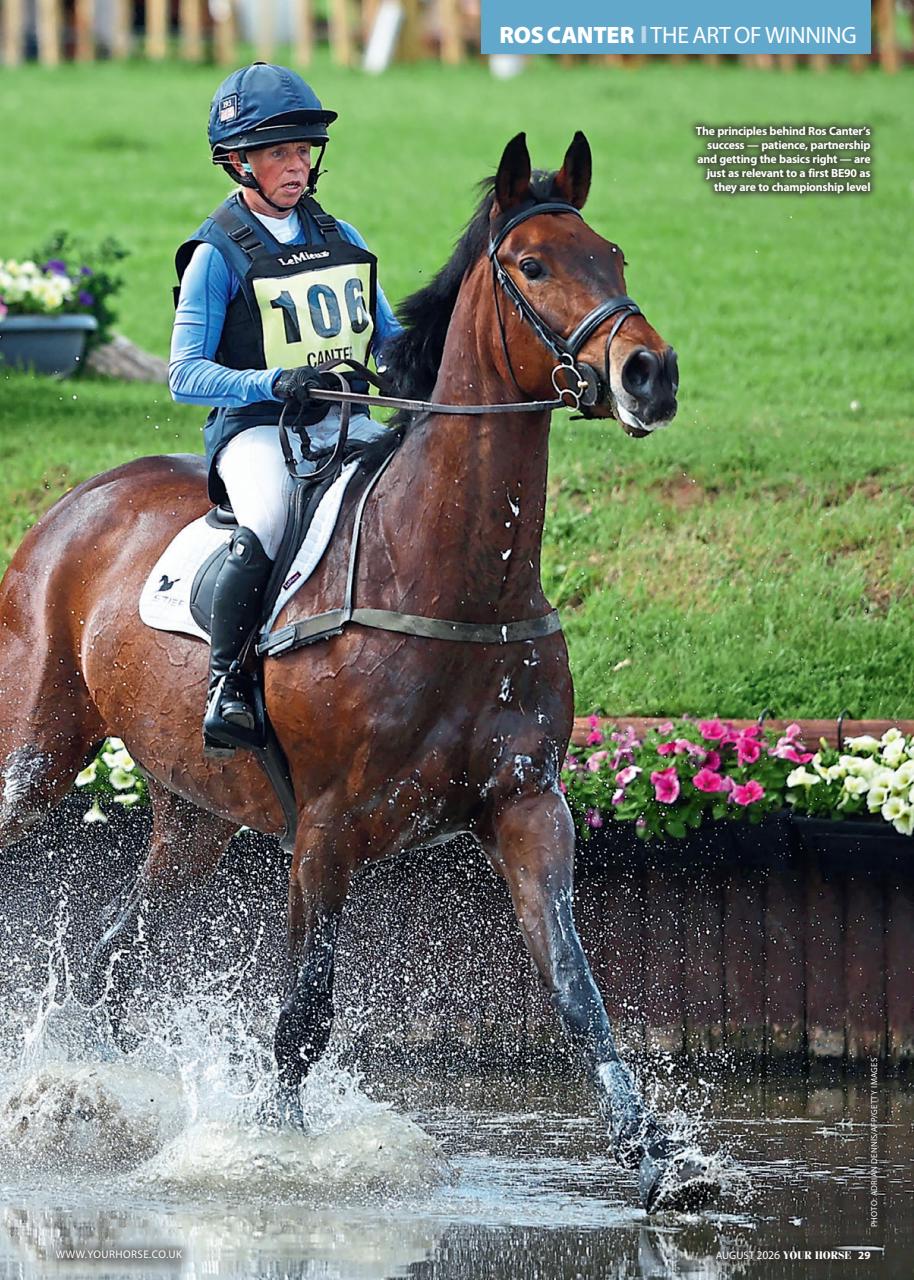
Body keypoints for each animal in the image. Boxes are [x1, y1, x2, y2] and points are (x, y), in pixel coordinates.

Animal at [0, 132, 714, 1211]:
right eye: (533, 265)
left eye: (614, 255)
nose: (648, 374)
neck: (457, 577)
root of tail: (73, 504)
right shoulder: (325, 827)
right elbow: (303, 1013)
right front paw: (273, 1157)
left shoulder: (527, 804)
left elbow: (577, 991)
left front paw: (656, 1161)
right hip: (38, 752)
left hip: (194, 812)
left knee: (112, 948)